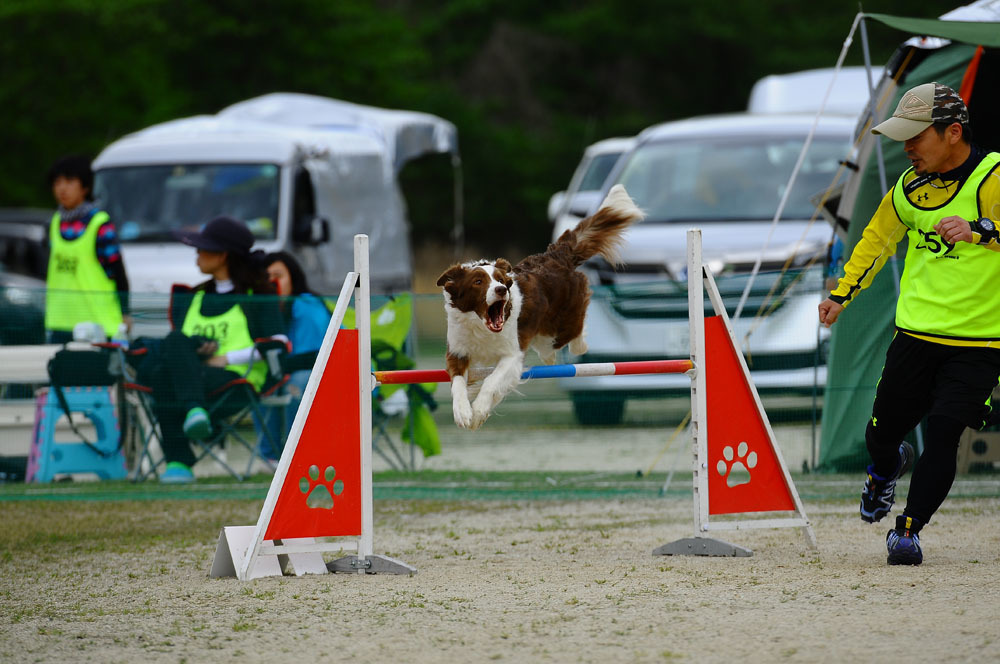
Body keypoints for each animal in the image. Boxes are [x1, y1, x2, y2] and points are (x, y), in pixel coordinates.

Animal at [436, 184, 640, 428]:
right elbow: (458, 383)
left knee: (575, 334)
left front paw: (478, 411)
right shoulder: (457, 352)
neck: (481, 328)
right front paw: (463, 413)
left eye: (500, 279)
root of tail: (558, 255)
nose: (501, 290)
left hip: (563, 324)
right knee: (547, 349)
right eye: (478, 282)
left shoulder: (512, 355)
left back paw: (579, 346)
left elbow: (492, 381)